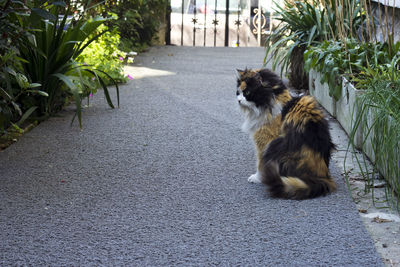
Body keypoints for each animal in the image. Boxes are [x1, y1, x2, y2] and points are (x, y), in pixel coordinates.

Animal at [236, 68, 336, 200]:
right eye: (238, 92)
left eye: (247, 92)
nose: (238, 100)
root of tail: (324, 176)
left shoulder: (265, 141)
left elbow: (260, 162)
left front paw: (257, 177)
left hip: (277, 145)